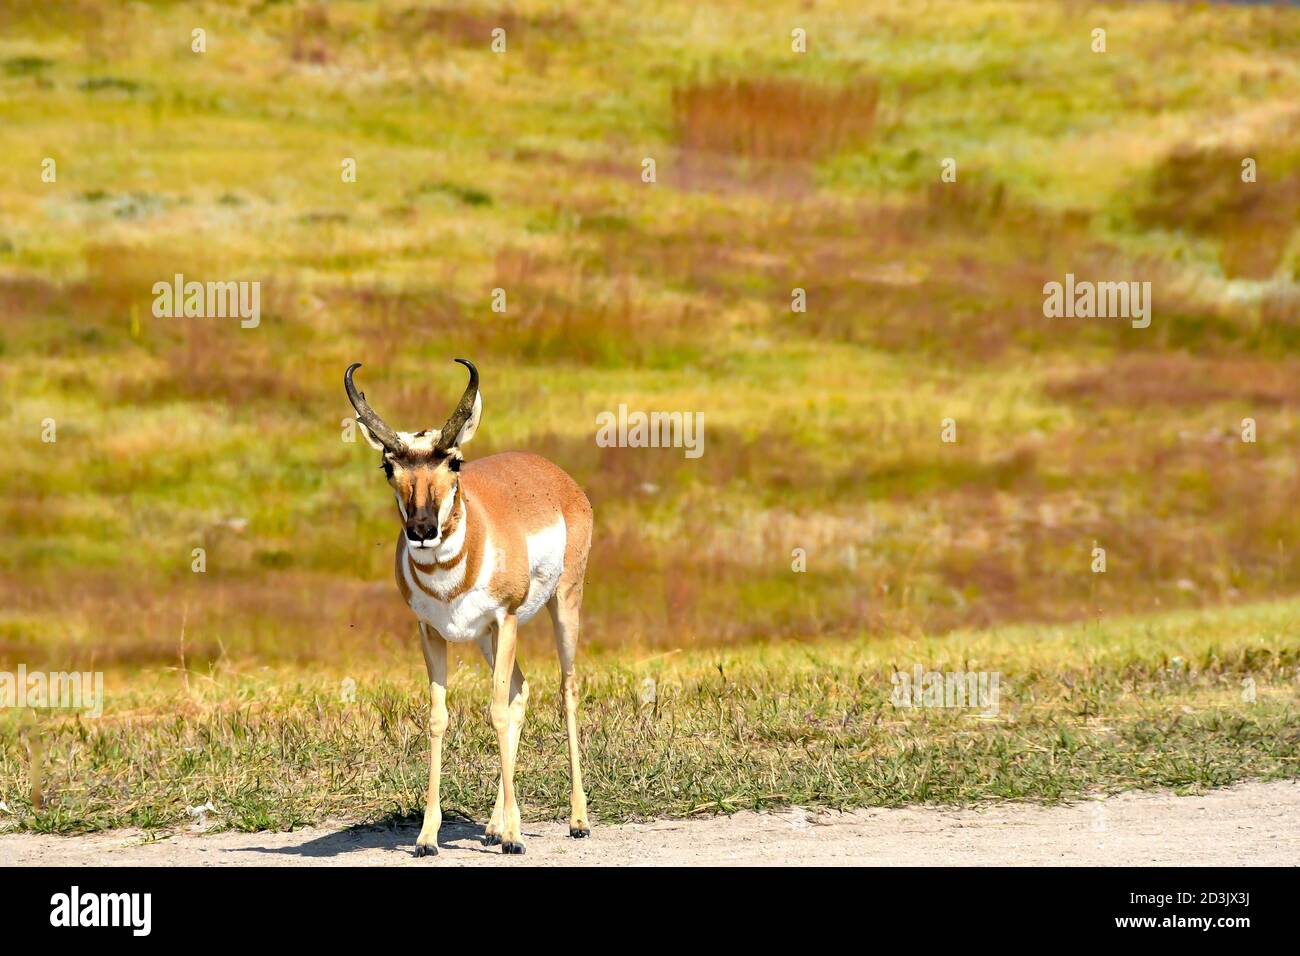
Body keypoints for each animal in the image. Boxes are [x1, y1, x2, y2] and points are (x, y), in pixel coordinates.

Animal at [344, 359, 592, 856]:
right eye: (388, 465)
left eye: (453, 460)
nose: (422, 528)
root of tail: (554, 475)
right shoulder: (431, 632)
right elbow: (439, 718)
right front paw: (426, 837)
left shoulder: (506, 618)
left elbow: (494, 711)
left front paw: (516, 838)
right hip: (485, 639)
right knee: (520, 691)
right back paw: (495, 826)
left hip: (561, 605)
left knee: (565, 689)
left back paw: (576, 820)